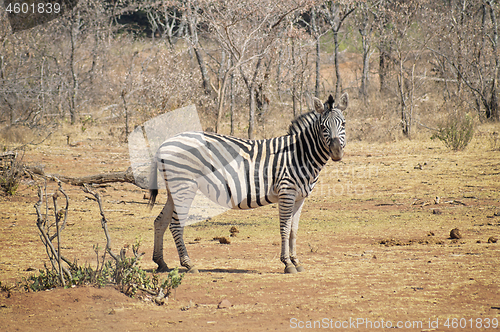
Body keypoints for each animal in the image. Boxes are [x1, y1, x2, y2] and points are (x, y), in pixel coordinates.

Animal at [148, 92, 348, 274]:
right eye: (322, 126)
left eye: (344, 124)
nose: (336, 152)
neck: (299, 154)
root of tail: (165, 143)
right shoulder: (286, 192)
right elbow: (284, 228)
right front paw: (287, 263)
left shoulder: (300, 197)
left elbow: (294, 230)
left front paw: (296, 261)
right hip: (184, 186)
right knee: (175, 225)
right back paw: (189, 264)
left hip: (174, 188)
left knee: (160, 222)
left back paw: (161, 263)